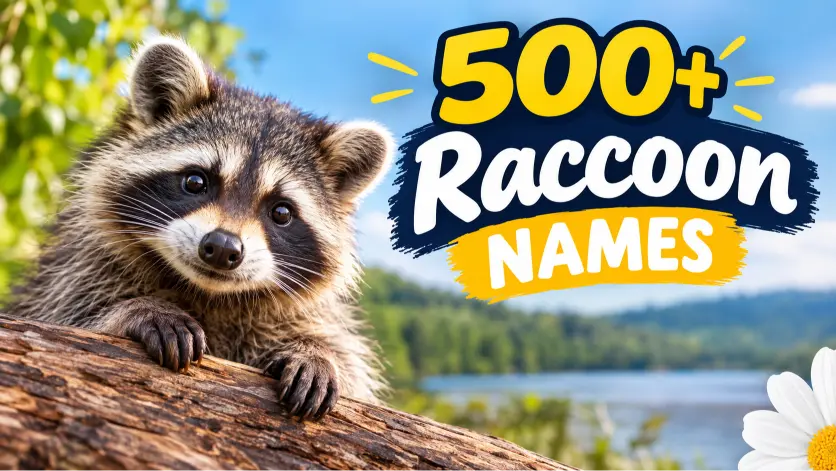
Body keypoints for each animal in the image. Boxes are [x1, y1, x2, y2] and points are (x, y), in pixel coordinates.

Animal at [6, 36, 393, 420]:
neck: (207, 292)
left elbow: (344, 359)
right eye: (196, 181)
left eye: (281, 212)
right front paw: (135, 309)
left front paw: (316, 352)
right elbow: (61, 317)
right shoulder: (69, 273)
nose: (223, 247)